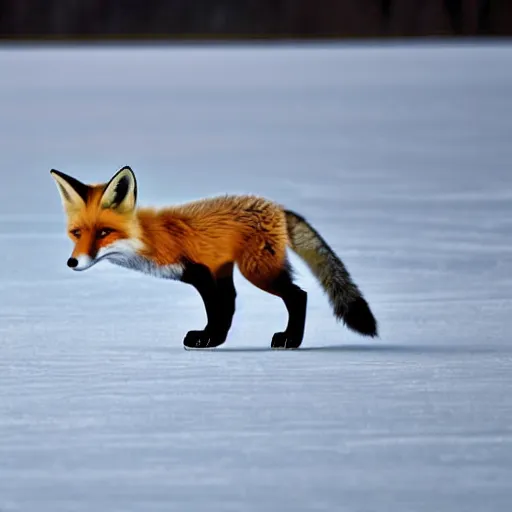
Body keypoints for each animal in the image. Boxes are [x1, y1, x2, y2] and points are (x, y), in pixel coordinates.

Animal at [50, 166, 378, 350]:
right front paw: (212, 339)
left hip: (257, 271)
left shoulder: (200, 271)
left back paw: (290, 340)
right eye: (77, 233)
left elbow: (218, 310)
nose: (72, 262)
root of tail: (276, 206)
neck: (149, 239)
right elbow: (225, 309)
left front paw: (210, 339)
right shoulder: (215, 270)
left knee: (299, 295)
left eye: (104, 232)